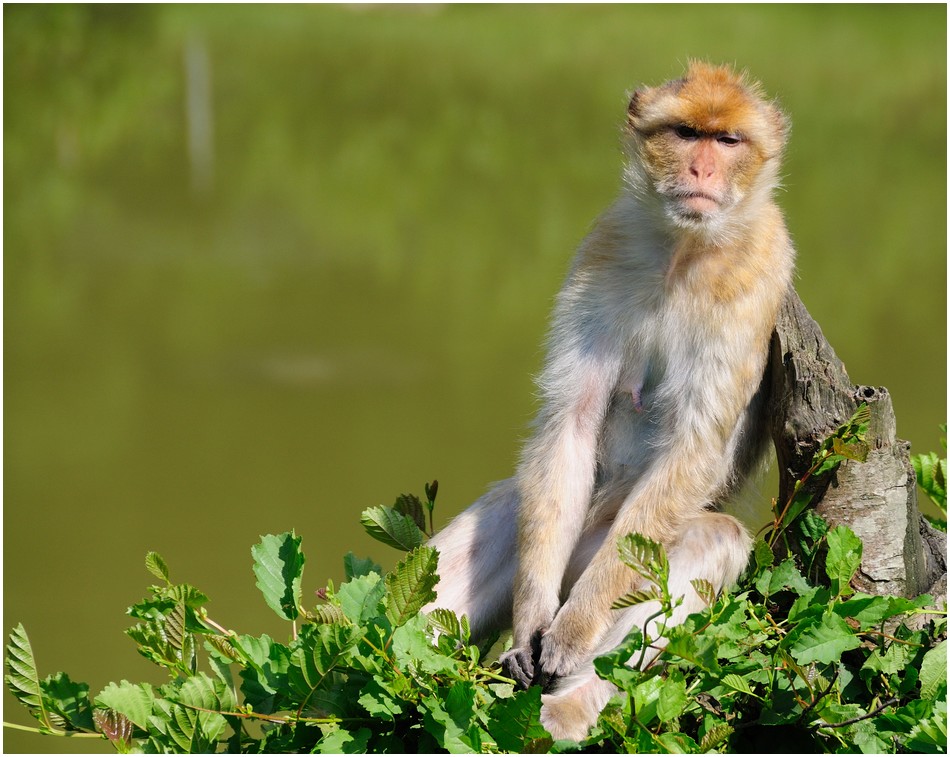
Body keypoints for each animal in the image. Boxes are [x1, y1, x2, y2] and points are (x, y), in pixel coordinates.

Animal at [424, 63, 796, 740]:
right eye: (686, 133)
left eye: (728, 141)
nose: (701, 170)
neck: (682, 250)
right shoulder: (604, 247)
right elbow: (569, 422)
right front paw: (531, 626)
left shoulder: (760, 272)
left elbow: (693, 450)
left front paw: (569, 636)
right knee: (514, 499)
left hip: (605, 560)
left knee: (713, 538)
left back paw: (567, 710)